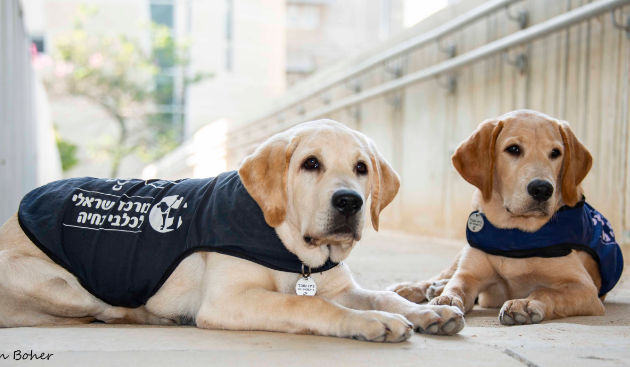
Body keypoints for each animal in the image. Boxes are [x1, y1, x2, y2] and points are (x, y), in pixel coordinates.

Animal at [0, 120, 464, 342]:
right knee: (107, 308)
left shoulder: (338, 285)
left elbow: (380, 294)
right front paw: (372, 323)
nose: (349, 202)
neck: (289, 249)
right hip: (63, 286)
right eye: (310, 163)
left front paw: (428, 310)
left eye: (362, 168)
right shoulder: (228, 300)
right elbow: (309, 306)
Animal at [392, 110, 624, 326]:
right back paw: (414, 287)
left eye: (556, 153)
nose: (542, 189)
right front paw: (446, 299)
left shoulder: (585, 289)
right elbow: (457, 285)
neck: (516, 233)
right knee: (442, 274)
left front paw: (526, 302)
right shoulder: (469, 274)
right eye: (513, 149)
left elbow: (546, 291)